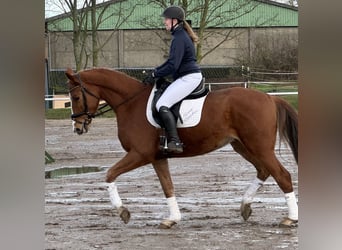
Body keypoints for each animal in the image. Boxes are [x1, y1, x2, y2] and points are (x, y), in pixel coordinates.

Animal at [65, 67, 298, 229]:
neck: (130, 104)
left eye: (75, 97)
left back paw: (290, 218)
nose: (77, 127)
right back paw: (245, 206)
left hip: (259, 147)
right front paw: (172, 219)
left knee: (282, 175)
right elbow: (167, 187)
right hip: (242, 146)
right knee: (264, 170)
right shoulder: (157, 157)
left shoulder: (139, 154)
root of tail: (269, 97)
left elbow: (110, 174)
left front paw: (123, 212)